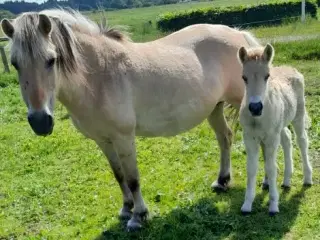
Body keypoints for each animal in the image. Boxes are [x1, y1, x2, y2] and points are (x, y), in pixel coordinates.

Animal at [1, 8, 260, 231]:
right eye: (15, 64)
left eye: (51, 60)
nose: (40, 122)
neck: (99, 76)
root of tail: (238, 34)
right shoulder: (103, 141)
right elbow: (119, 175)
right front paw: (126, 209)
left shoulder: (124, 138)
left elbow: (133, 178)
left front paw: (139, 216)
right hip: (214, 109)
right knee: (225, 138)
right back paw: (222, 181)